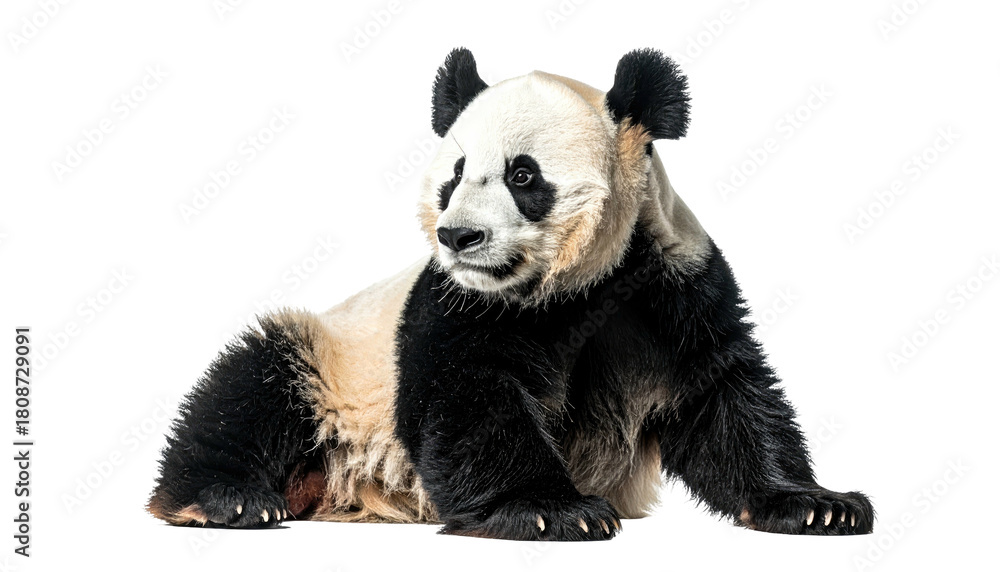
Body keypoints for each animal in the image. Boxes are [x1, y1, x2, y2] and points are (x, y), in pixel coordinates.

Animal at [148, 47, 875, 540]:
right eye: (455, 174)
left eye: (523, 175)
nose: (458, 236)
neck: (580, 286)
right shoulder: (452, 304)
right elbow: (469, 399)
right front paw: (552, 510)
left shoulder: (676, 284)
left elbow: (721, 394)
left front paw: (817, 503)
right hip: (333, 358)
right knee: (252, 384)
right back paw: (225, 498)